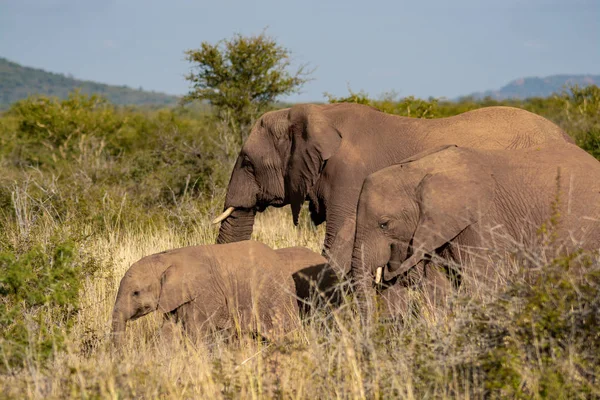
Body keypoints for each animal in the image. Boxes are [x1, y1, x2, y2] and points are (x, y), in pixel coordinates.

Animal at [111, 241, 332, 346]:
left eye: (136, 293)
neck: (166, 257)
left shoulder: (204, 293)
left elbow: (195, 331)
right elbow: (169, 331)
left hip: (276, 296)